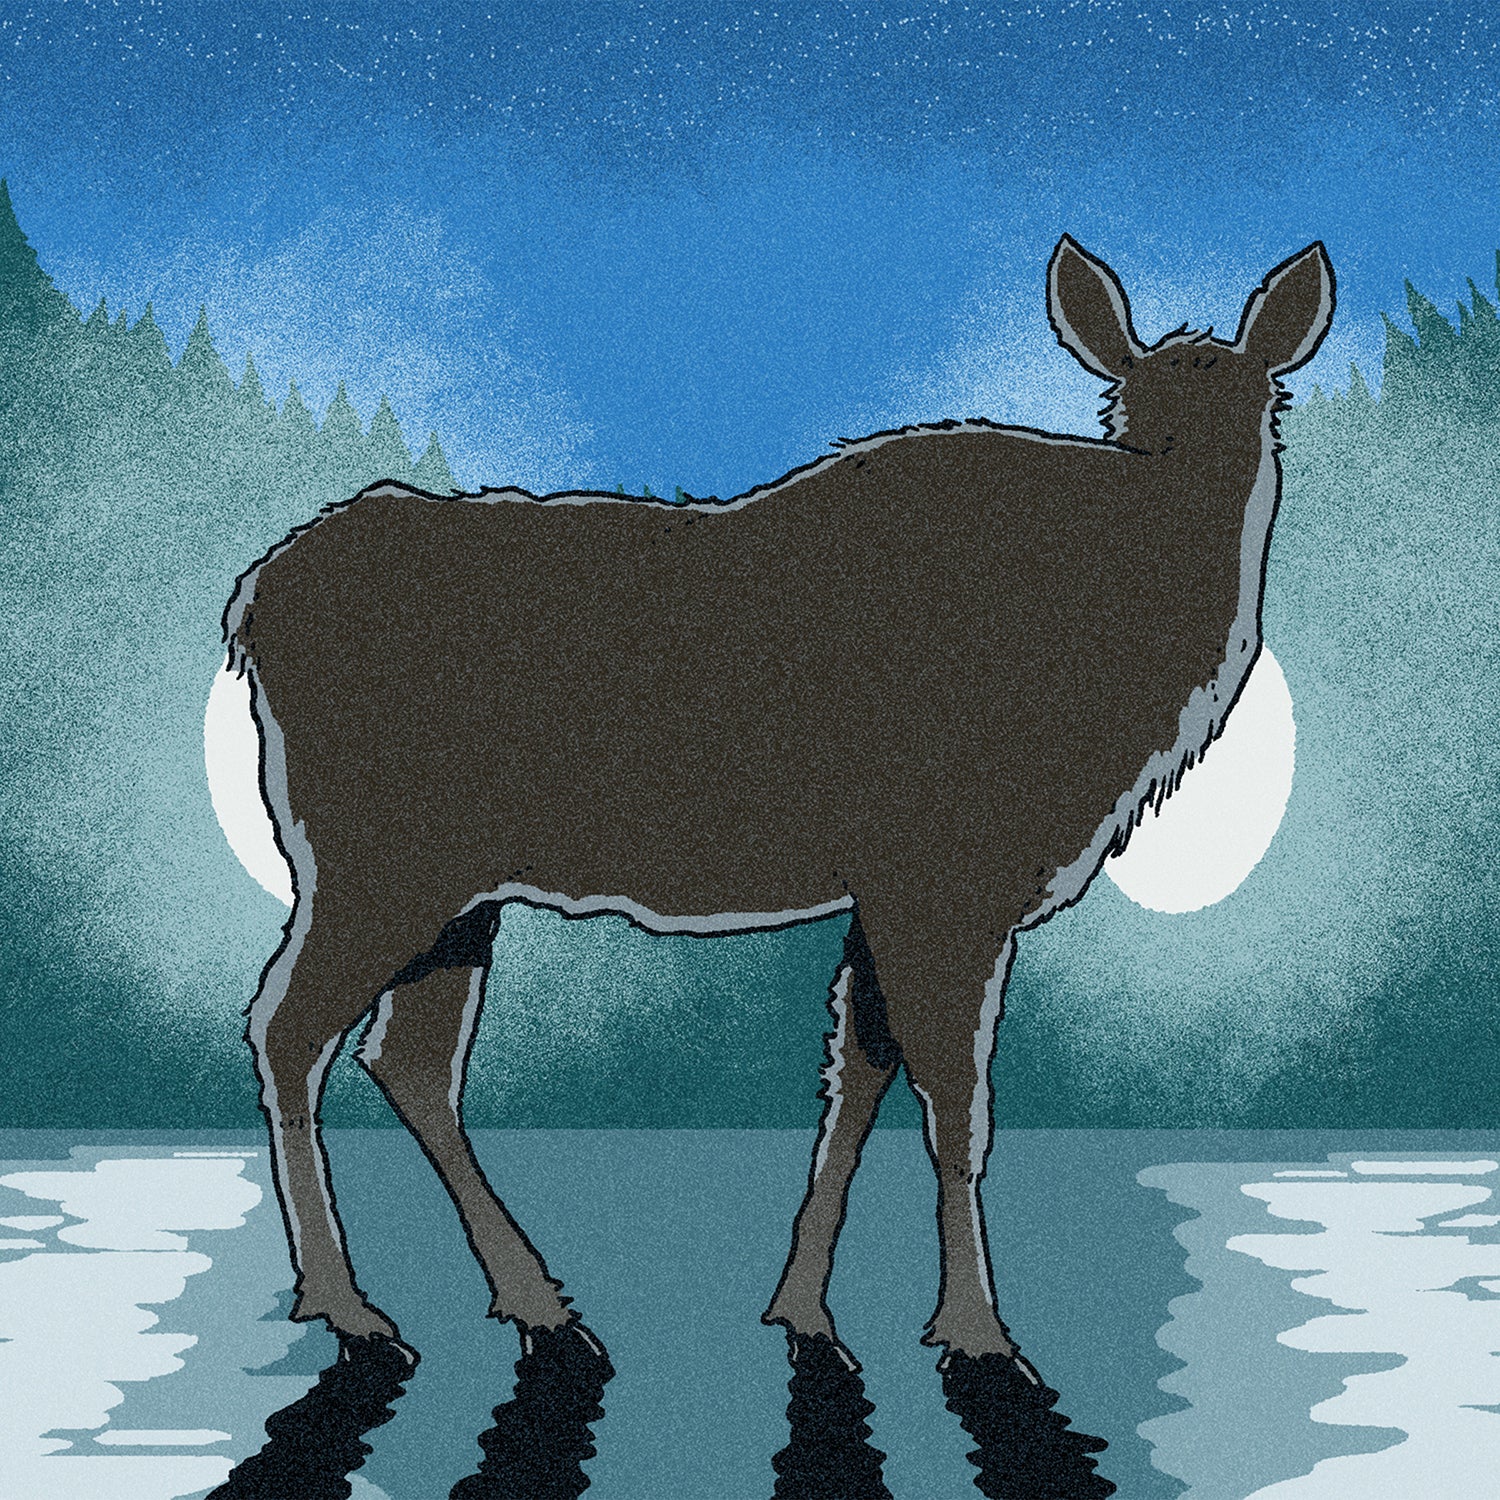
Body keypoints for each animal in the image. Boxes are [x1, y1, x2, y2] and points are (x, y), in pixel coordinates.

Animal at [223, 236, 1334, 1380]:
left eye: (1264, 400)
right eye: (1126, 407)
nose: (1191, 496)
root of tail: (250, 602)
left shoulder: (888, 894)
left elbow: (856, 1084)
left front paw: (805, 1309)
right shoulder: (947, 877)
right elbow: (956, 1105)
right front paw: (978, 1330)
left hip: (455, 891)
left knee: (406, 1059)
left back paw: (536, 1302)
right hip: (372, 859)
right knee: (287, 1027)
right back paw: (348, 1305)